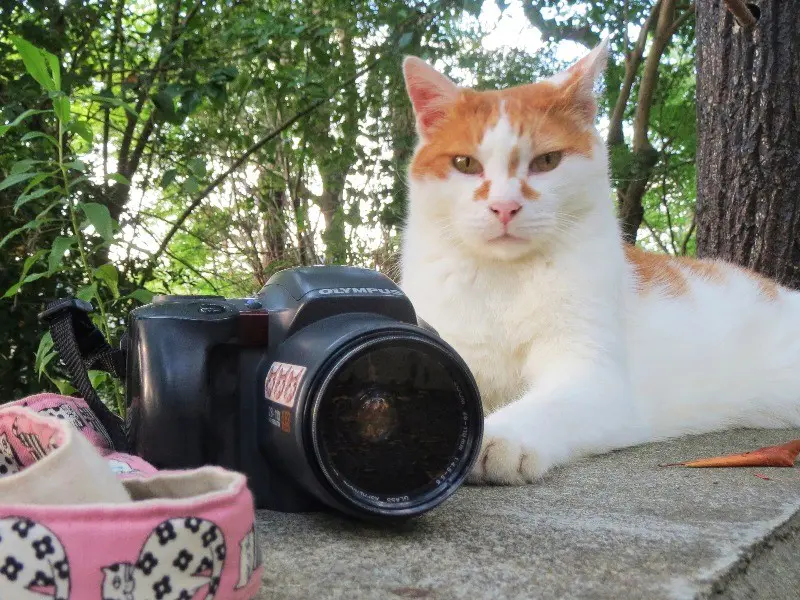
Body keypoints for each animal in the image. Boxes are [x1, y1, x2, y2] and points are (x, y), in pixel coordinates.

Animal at [400, 39, 800, 486]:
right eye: (465, 164)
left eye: (547, 161)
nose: (505, 207)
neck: (504, 280)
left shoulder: (595, 378)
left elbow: (548, 404)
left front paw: (498, 436)